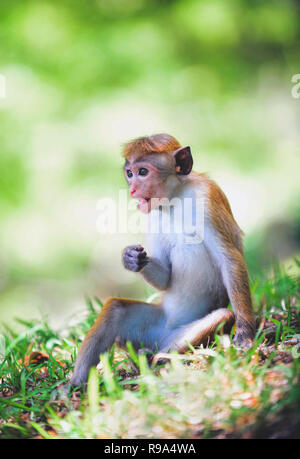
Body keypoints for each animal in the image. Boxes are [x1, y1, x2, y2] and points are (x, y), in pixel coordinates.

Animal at [71, 134, 255, 388]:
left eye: (143, 171)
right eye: (129, 173)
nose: (132, 189)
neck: (174, 198)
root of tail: (161, 337)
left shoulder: (207, 197)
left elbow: (229, 259)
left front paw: (245, 334)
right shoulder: (151, 216)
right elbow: (166, 277)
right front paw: (130, 258)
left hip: (179, 334)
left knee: (222, 316)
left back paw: (157, 358)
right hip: (149, 327)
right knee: (116, 309)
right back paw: (76, 384)